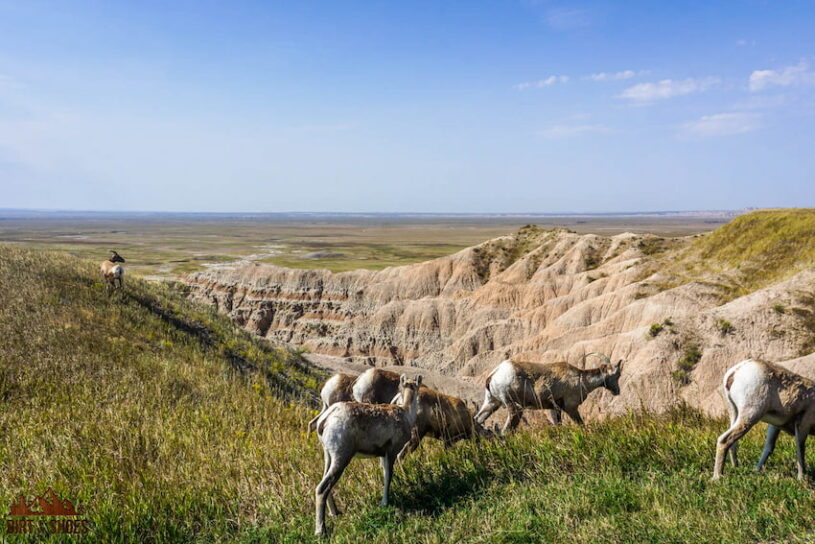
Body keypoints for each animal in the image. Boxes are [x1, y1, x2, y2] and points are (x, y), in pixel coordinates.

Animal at [314, 374, 424, 536]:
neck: (406, 413)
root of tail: (326, 419)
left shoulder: (383, 456)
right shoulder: (391, 452)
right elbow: (389, 476)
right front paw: (384, 503)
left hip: (328, 456)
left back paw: (335, 513)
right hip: (341, 457)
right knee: (322, 488)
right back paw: (321, 531)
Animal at [472, 352, 624, 434]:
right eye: (617, 375)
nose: (617, 391)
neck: (581, 380)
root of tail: (493, 375)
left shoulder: (555, 408)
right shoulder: (570, 407)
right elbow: (581, 424)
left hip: (492, 403)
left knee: (478, 419)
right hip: (513, 406)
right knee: (506, 430)